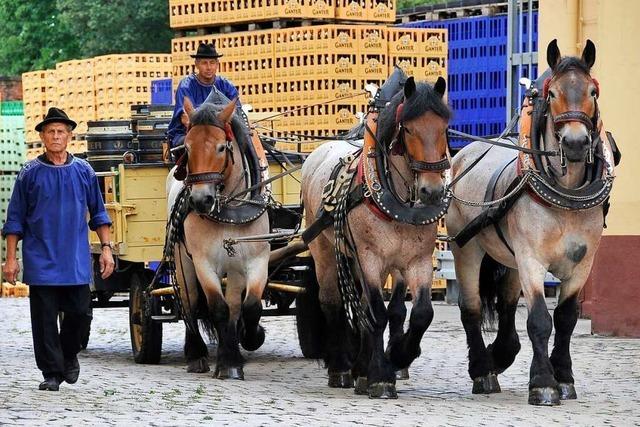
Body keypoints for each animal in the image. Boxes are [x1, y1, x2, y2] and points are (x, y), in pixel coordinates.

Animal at [165, 94, 270, 382]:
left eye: (222, 147)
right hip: (182, 263)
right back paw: (196, 354)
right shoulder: (204, 262)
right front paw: (228, 362)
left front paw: (249, 339)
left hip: (233, 268)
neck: (229, 209)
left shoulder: (256, 259)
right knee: (189, 303)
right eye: (187, 148)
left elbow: (249, 306)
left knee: (234, 304)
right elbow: (217, 308)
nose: (201, 200)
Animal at [302, 75, 452, 400]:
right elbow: (377, 314)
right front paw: (382, 377)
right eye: (408, 129)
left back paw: (360, 368)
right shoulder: (369, 258)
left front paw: (399, 356)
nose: (432, 191)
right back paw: (341, 369)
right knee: (332, 303)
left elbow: (421, 313)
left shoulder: (417, 260)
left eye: (444, 128)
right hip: (325, 252)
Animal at [444, 39, 616, 404]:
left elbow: (565, 319)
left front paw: (563, 377)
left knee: (507, 306)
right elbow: (539, 320)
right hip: (468, 249)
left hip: (509, 260)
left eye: (592, 91)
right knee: (471, 308)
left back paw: (500, 354)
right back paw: (482, 370)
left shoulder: (583, 264)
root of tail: (464, 153)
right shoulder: (532, 260)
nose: (576, 143)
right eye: (552, 94)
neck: (566, 197)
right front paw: (543, 383)